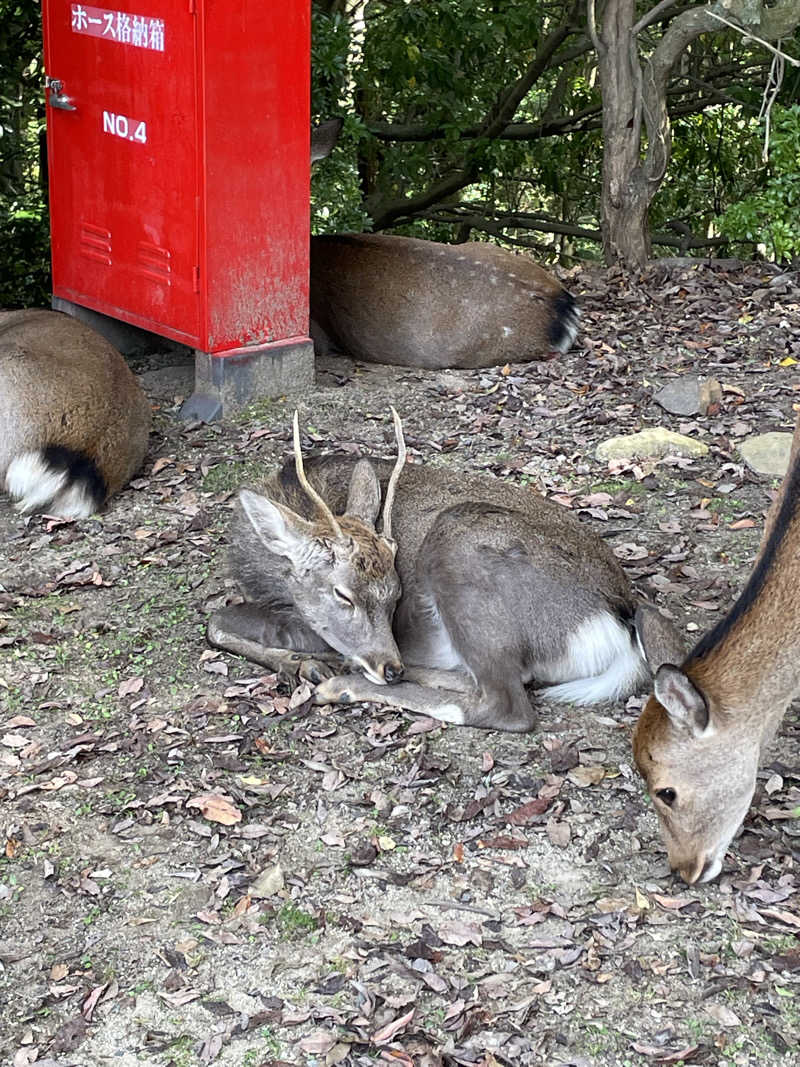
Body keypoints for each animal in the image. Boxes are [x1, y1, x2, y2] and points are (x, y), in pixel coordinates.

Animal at [208, 409, 682, 734]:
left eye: (396, 594)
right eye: (343, 594)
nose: (390, 666)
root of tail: (619, 617)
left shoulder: (307, 622)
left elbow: (216, 621)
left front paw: (304, 664)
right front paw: (303, 663)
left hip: (460, 542)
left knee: (507, 705)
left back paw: (343, 684)